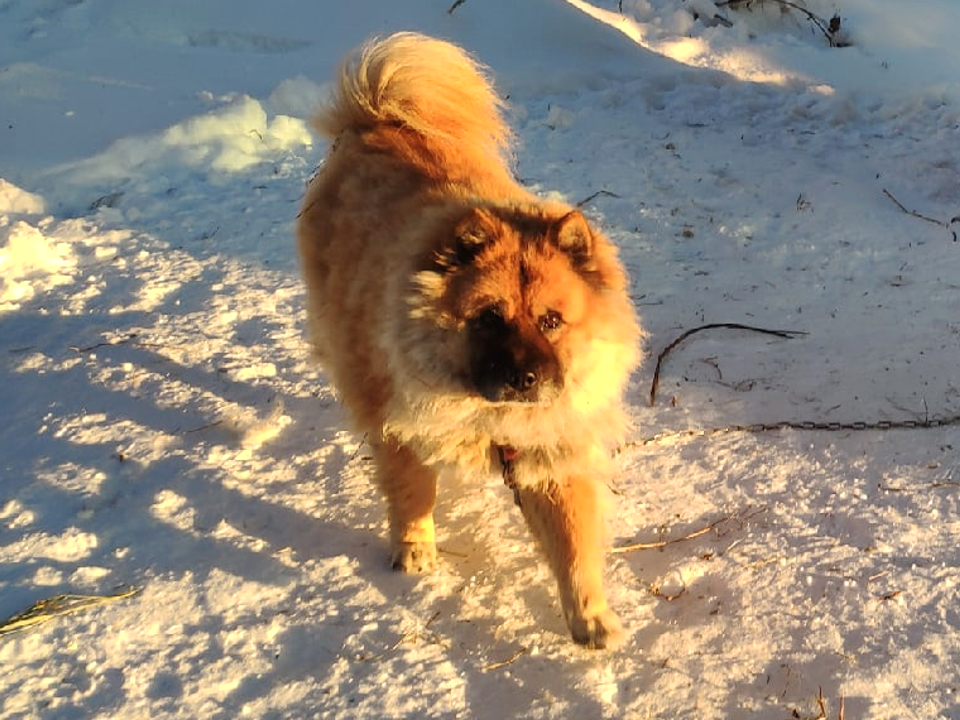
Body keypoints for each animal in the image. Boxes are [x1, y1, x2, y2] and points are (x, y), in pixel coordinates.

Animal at [298, 32, 644, 652]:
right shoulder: (402, 427)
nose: (526, 378)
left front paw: (591, 618)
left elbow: (574, 546)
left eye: (552, 320)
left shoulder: (551, 450)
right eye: (488, 319)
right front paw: (415, 550)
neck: (490, 413)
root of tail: (377, 118)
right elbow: (412, 490)